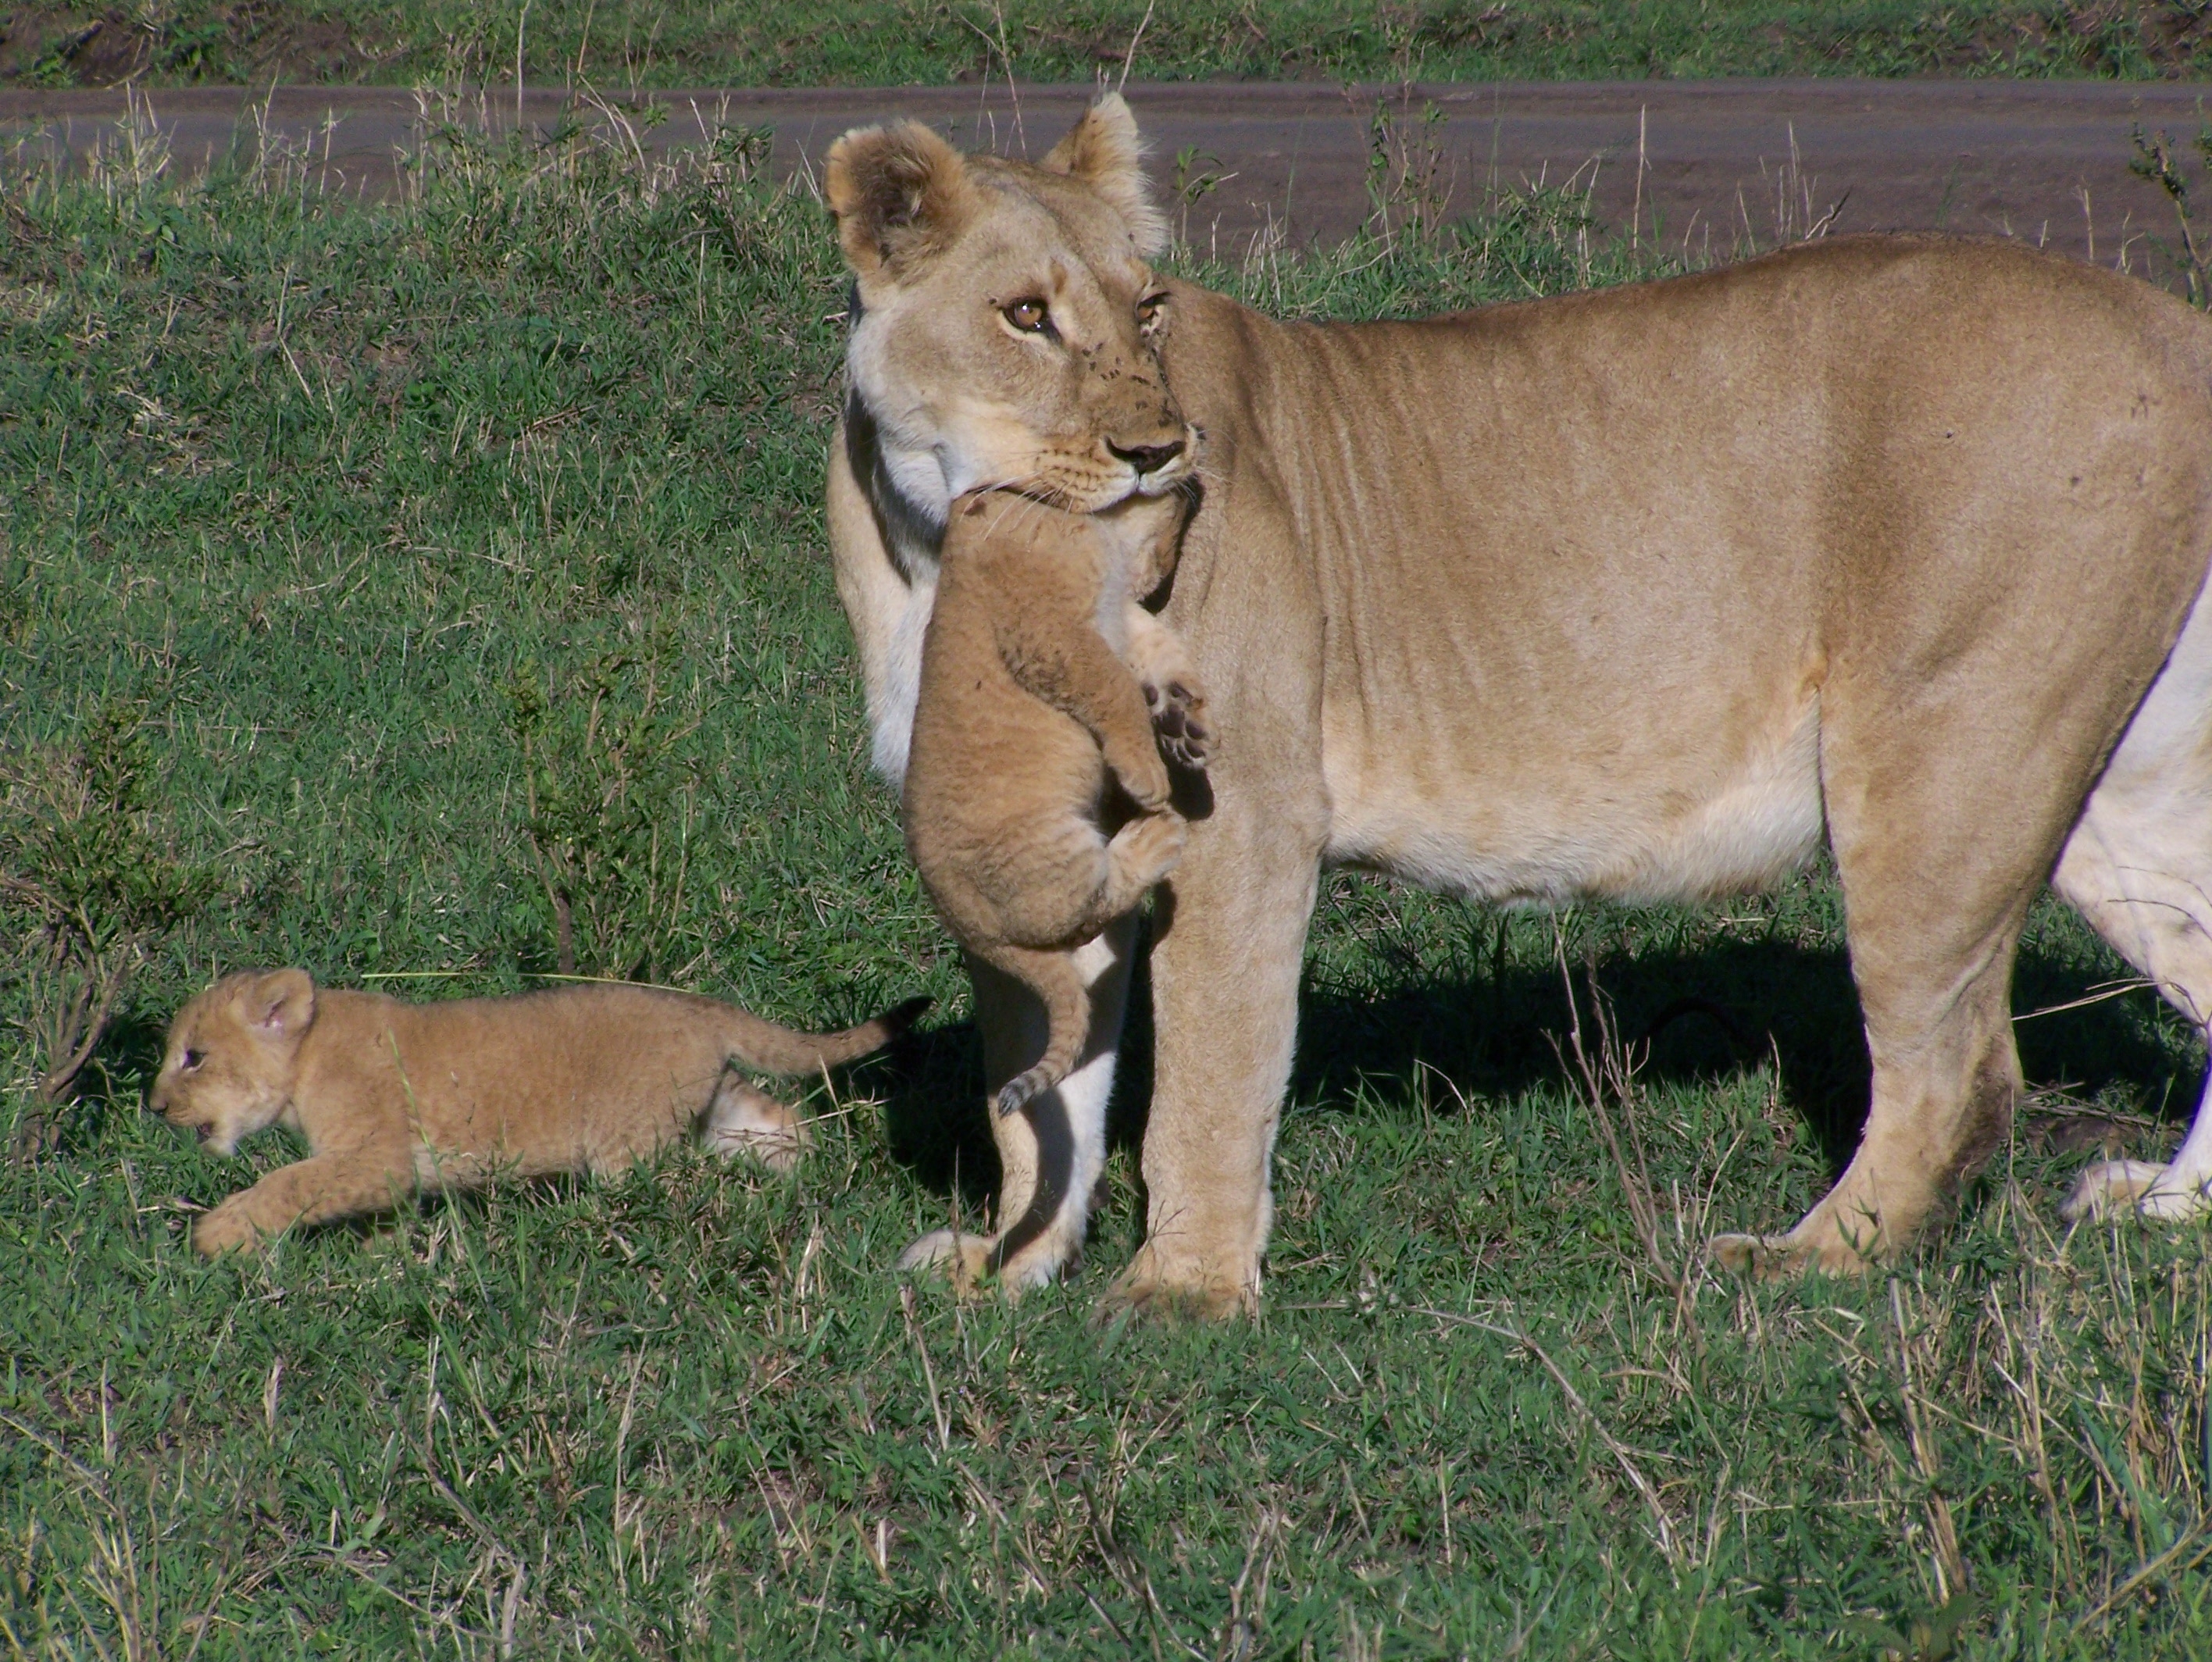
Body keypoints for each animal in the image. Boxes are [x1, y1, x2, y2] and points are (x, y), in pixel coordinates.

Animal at [150, 968, 928, 1255]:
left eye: (194, 1057)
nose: (153, 1106)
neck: (309, 1056)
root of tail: (696, 1008)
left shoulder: (377, 1156)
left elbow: (291, 1182)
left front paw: (220, 1233)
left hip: (627, 1153)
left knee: (685, 1192)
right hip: (720, 1105)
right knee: (784, 1132)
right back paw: (810, 1191)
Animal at [905, 487, 1204, 1174]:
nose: (1180, 477)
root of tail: (974, 931)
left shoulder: (1119, 601)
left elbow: (1150, 641)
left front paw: (1187, 708)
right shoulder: (1051, 634)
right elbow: (1114, 686)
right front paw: (1149, 770)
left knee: (1081, 927)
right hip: (1052, 845)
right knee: (1092, 901)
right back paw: (1158, 834)